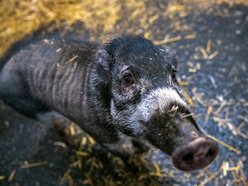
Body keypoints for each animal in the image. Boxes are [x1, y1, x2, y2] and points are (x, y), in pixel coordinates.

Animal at [0, 35, 219, 171]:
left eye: (173, 74)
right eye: (127, 79)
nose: (199, 144)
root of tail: (4, 70)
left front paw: (144, 151)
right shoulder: (103, 136)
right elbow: (125, 154)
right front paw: (137, 167)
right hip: (33, 110)